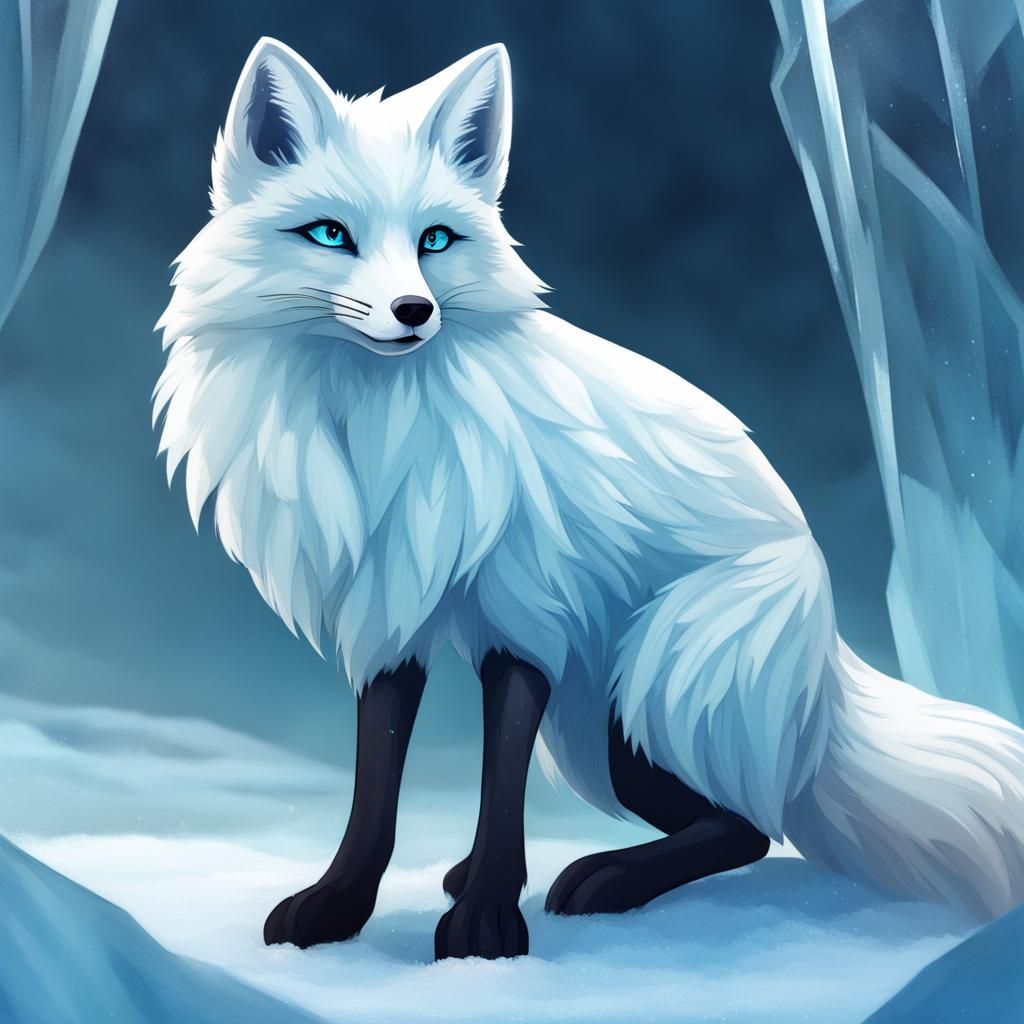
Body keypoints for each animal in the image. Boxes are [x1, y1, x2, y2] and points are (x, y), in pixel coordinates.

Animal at [155, 38, 1024, 960]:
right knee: (735, 821)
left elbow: (497, 780)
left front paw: (485, 926)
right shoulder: (387, 612)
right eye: (330, 235)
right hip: (597, 733)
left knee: (751, 827)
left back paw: (602, 880)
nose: (414, 310)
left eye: (435, 240)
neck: (373, 432)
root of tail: (828, 668)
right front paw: (339, 905)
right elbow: (376, 787)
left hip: (652, 686)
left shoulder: (528, 614)